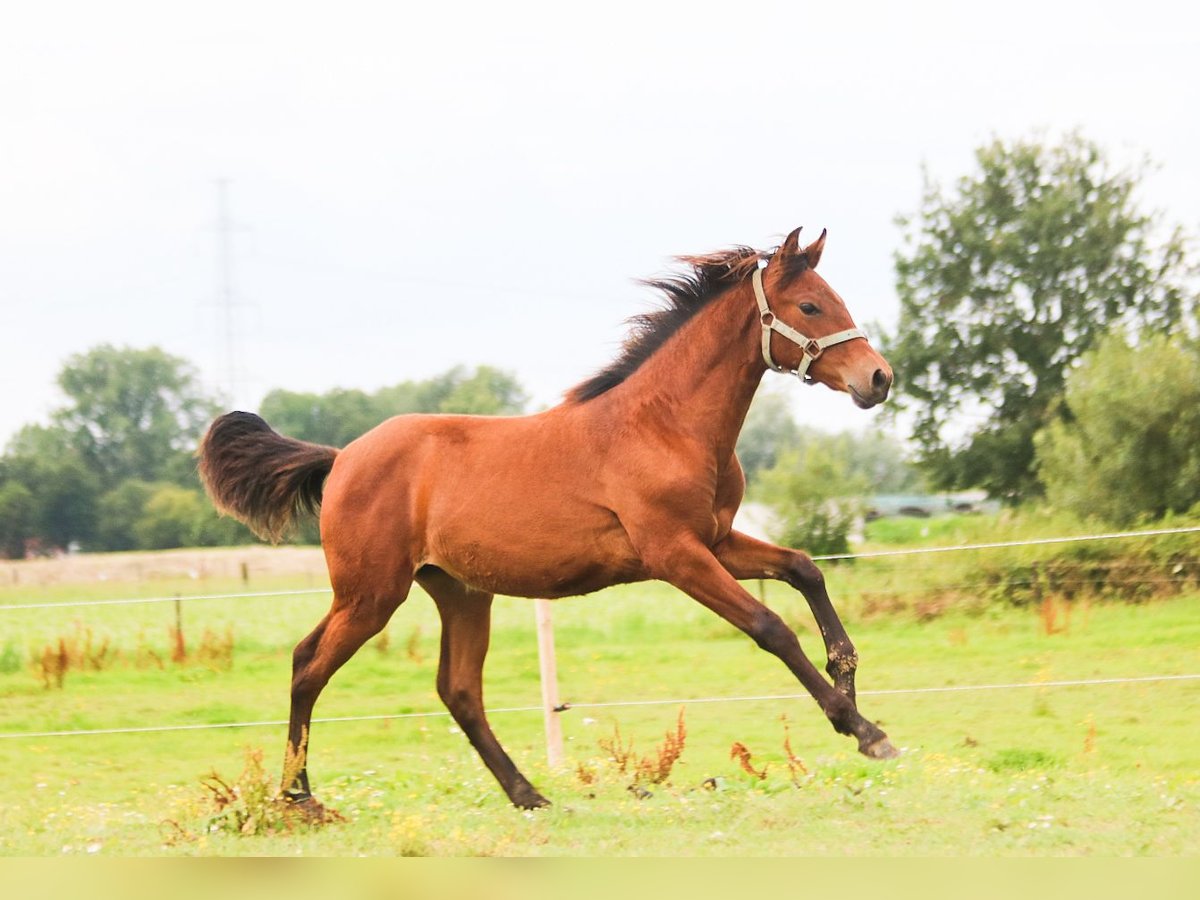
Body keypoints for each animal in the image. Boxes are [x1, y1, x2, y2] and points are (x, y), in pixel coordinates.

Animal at [199, 226, 892, 816]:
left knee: (457, 689)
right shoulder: (675, 554)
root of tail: (341, 458)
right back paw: (300, 797)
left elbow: (804, 569)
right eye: (810, 307)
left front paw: (849, 680)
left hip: (459, 593)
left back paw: (527, 794)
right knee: (308, 665)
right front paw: (863, 729)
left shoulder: (716, 540)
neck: (665, 424)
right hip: (370, 593)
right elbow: (770, 627)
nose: (879, 377)